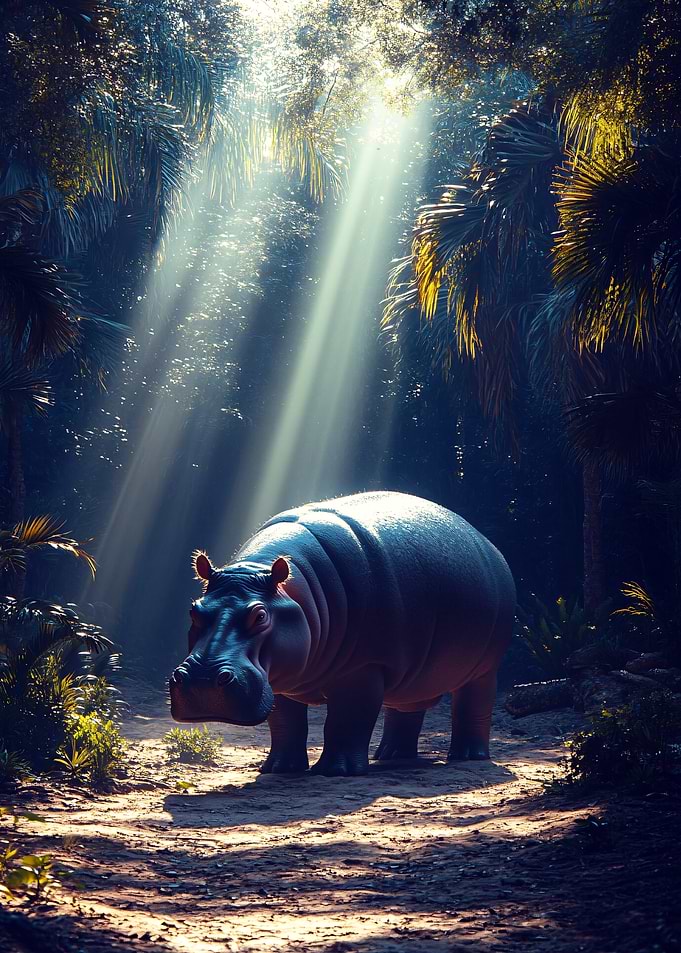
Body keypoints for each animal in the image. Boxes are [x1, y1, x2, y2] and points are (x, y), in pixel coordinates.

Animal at [170, 491, 515, 776]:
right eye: (194, 609)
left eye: (260, 615)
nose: (201, 682)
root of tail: (488, 544)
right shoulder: (277, 676)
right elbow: (284, 723)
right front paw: (278, 769)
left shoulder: (363, 667)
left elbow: (347, 719)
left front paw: (336, 771)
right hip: (412, 672)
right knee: (405, 708)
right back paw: (389, 756)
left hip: (485, 667)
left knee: (473, 704)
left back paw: (468, 756)